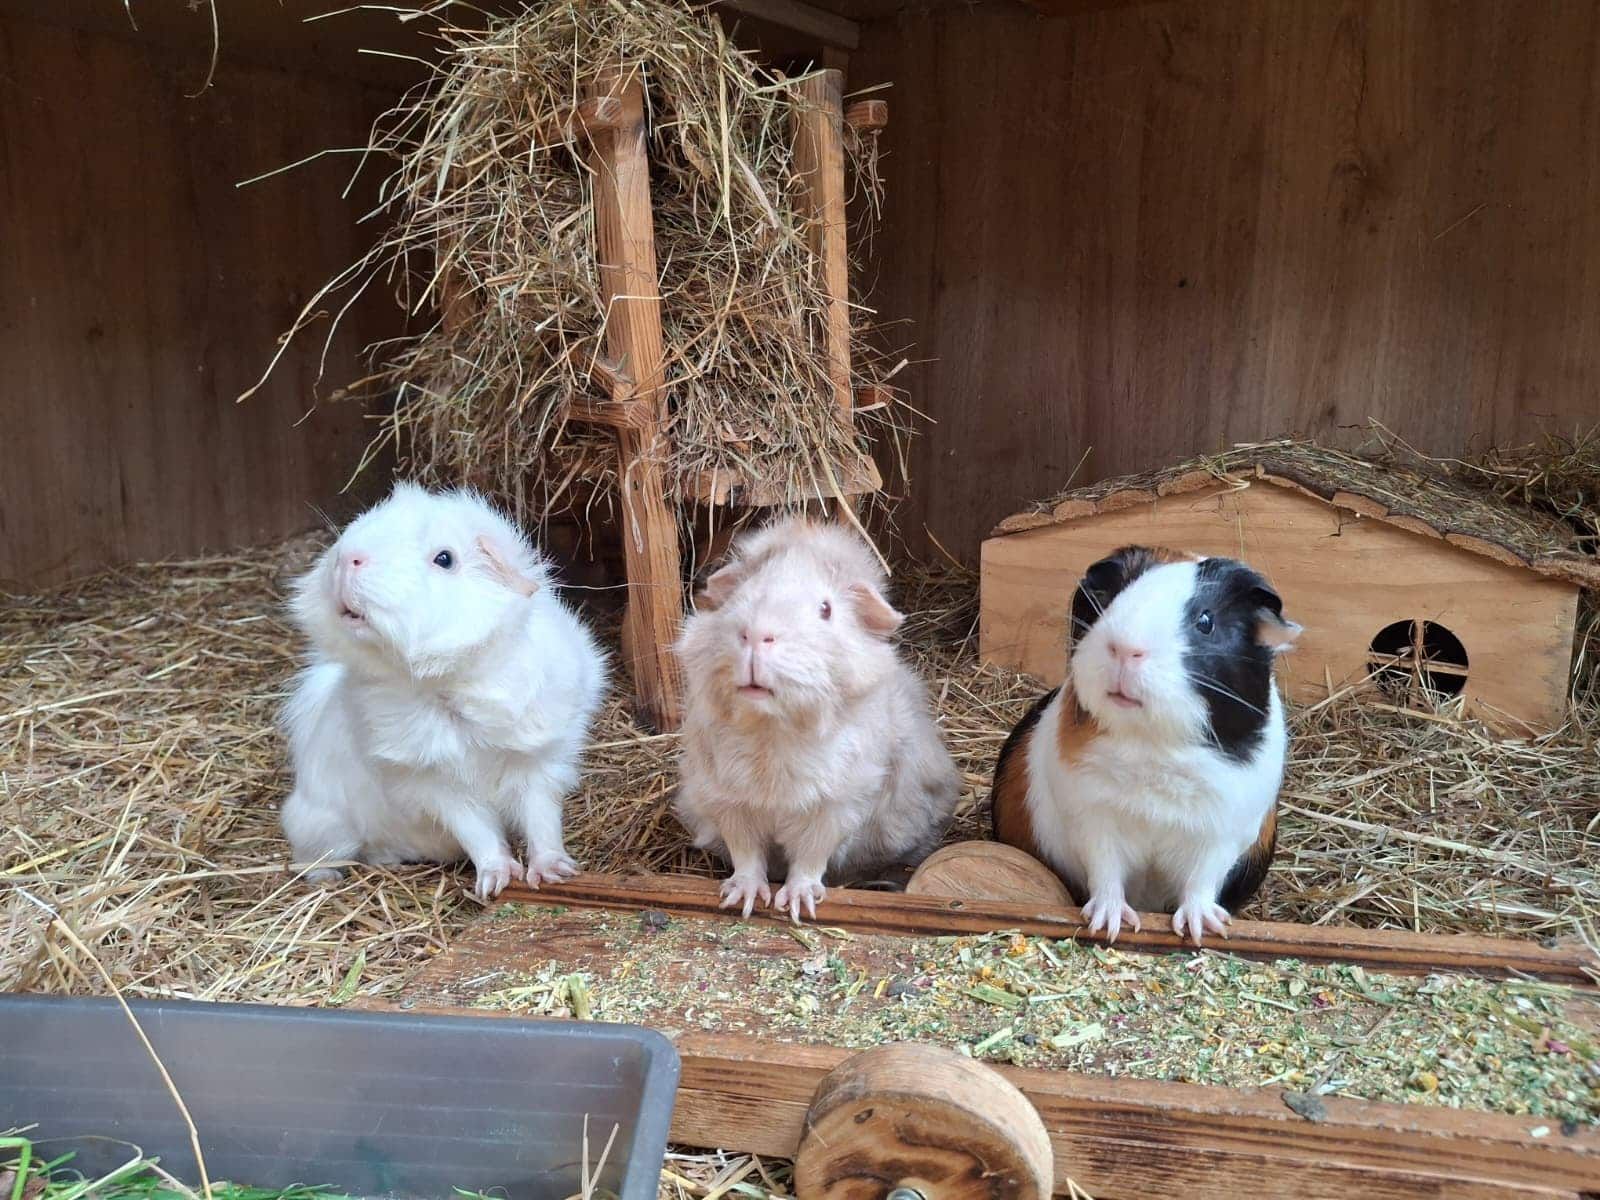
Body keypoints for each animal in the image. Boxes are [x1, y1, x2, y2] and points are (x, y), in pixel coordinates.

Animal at [279, 481, 607, 901]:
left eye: (445, 558)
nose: (347, 557)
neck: (449, 684)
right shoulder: (434, 783)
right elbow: (480, 834)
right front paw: (495, 882)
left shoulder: (539, 762)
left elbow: (542, 820)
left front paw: (553, 873)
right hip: (320, 827)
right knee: (317, 857)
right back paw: (329, 877)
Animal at [673, 516, 960, 923]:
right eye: (743, 595)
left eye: (826, 609)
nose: (756, 635)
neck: (772, 732)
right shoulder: (727, 802)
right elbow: (747, 855)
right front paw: (742, 900)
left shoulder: (833, 807)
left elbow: (809, 859)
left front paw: (797, 905)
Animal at [990, 545, 1300, 945]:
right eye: (1110, 601)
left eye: (1205, 621)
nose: (1125, 648)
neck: (1152, 744)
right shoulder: (1092, 818)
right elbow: (1106, 874)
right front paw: (1109, 925)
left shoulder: (1221, 834)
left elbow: (1200, 883)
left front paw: (1200, 930)